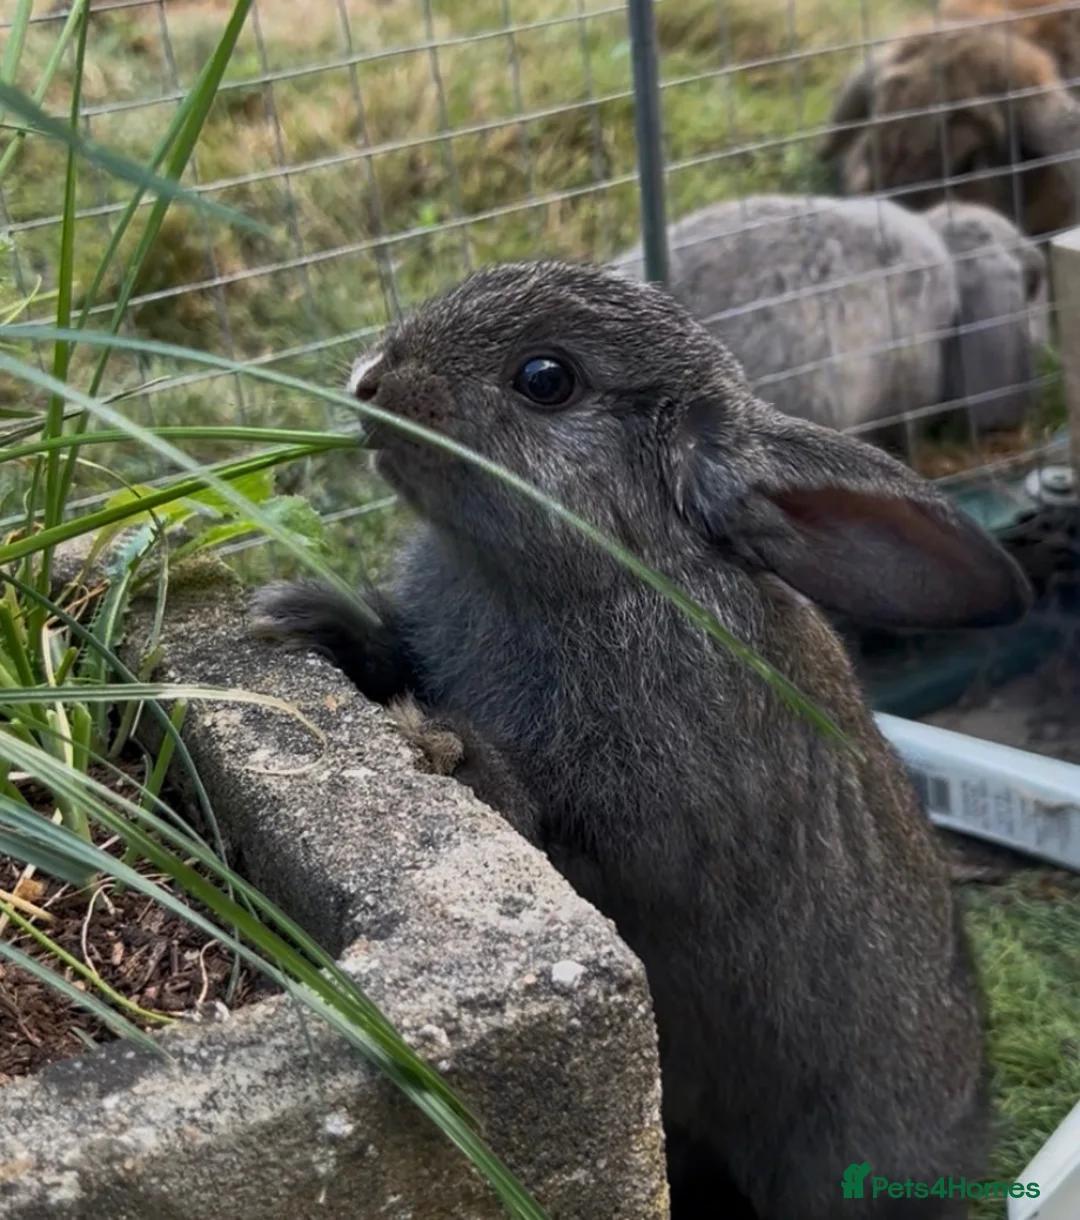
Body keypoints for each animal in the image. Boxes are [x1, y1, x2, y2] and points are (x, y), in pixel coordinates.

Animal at [250, 261, 1032, 1219]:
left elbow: (548, 824)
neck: (614, 568)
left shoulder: (644, 833)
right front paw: (301, 618)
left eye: (546, 379)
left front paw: (443, 750)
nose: (370, 382)